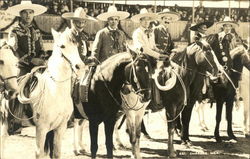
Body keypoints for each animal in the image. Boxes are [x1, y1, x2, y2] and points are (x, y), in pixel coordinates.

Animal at [17, 28, 85, 159]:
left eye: (76, 44)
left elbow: (56, 153)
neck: (56, 92)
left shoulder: (60, 127)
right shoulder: (42, 128)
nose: (80, 66)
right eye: (62, 46)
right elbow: (39, 153)